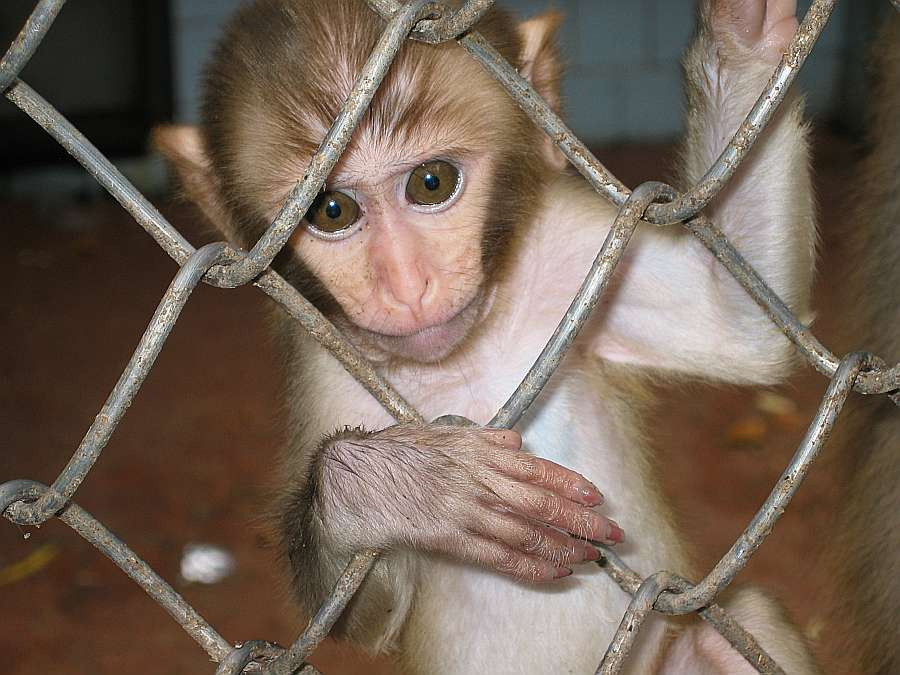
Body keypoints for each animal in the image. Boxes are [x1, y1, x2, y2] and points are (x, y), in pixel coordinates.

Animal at [154, 0, 823, 672]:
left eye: (431, 182)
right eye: (332, 211)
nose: (408, 286)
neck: (463, 358)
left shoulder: (571, 248)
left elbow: (737, 319)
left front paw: (744, 37)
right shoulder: (324, 365)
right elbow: (354, 617)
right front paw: (405, 486)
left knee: (737, 623)